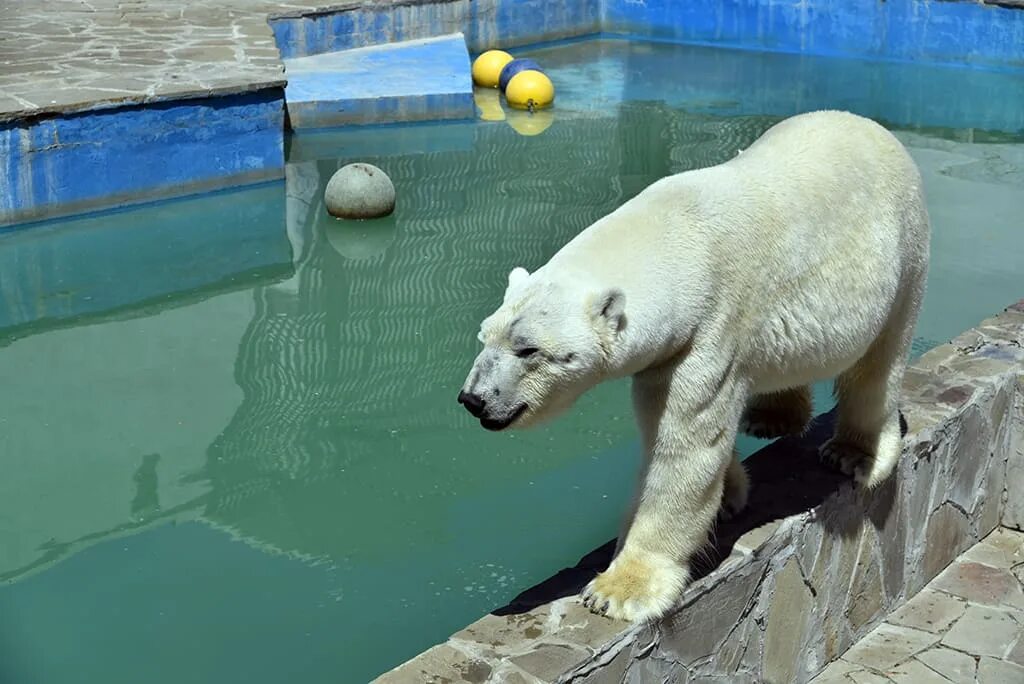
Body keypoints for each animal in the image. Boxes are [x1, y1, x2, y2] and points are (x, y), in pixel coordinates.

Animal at [456, 109, 929, 622]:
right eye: (485, 337)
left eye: (529, 350)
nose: (473, 399)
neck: (675, 232)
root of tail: (871, 127)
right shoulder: (668, 351)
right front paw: (729, 495)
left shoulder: (708, 331)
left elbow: (683, 448)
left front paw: (618, 589)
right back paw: (772, 416)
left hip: (904, 258)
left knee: (879, 364)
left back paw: (852, 453)